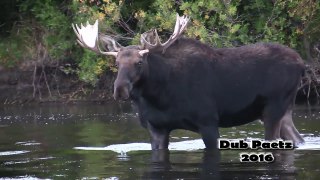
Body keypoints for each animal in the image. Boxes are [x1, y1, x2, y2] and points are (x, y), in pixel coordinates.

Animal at [72, 14, 304, 149]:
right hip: (282, 109)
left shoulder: (208, 121)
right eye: (117, 63)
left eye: (139, 62)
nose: (120, 90)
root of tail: (301, 62)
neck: (159, 97)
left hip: (274, 106)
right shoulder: (156, 128)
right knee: (296, 138)